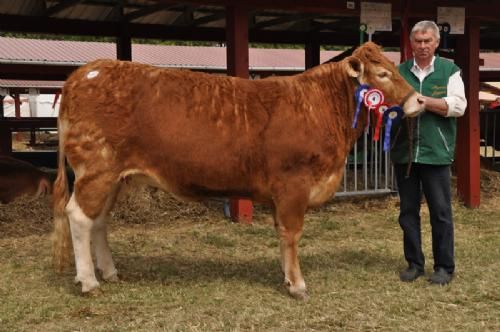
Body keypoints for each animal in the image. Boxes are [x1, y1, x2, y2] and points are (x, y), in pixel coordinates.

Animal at [52, 41, 424, 298]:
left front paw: (286, 277)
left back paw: (109, 272)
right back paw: (89, 281)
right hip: (97, 169)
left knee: (99, 221)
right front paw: (298, 284)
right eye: (383, 74)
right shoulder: (293, 184)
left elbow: (281, 234)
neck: (319, 106)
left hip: (113, 177)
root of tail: (87, 71)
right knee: (79, 217)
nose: (419, 101)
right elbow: (292, 233)